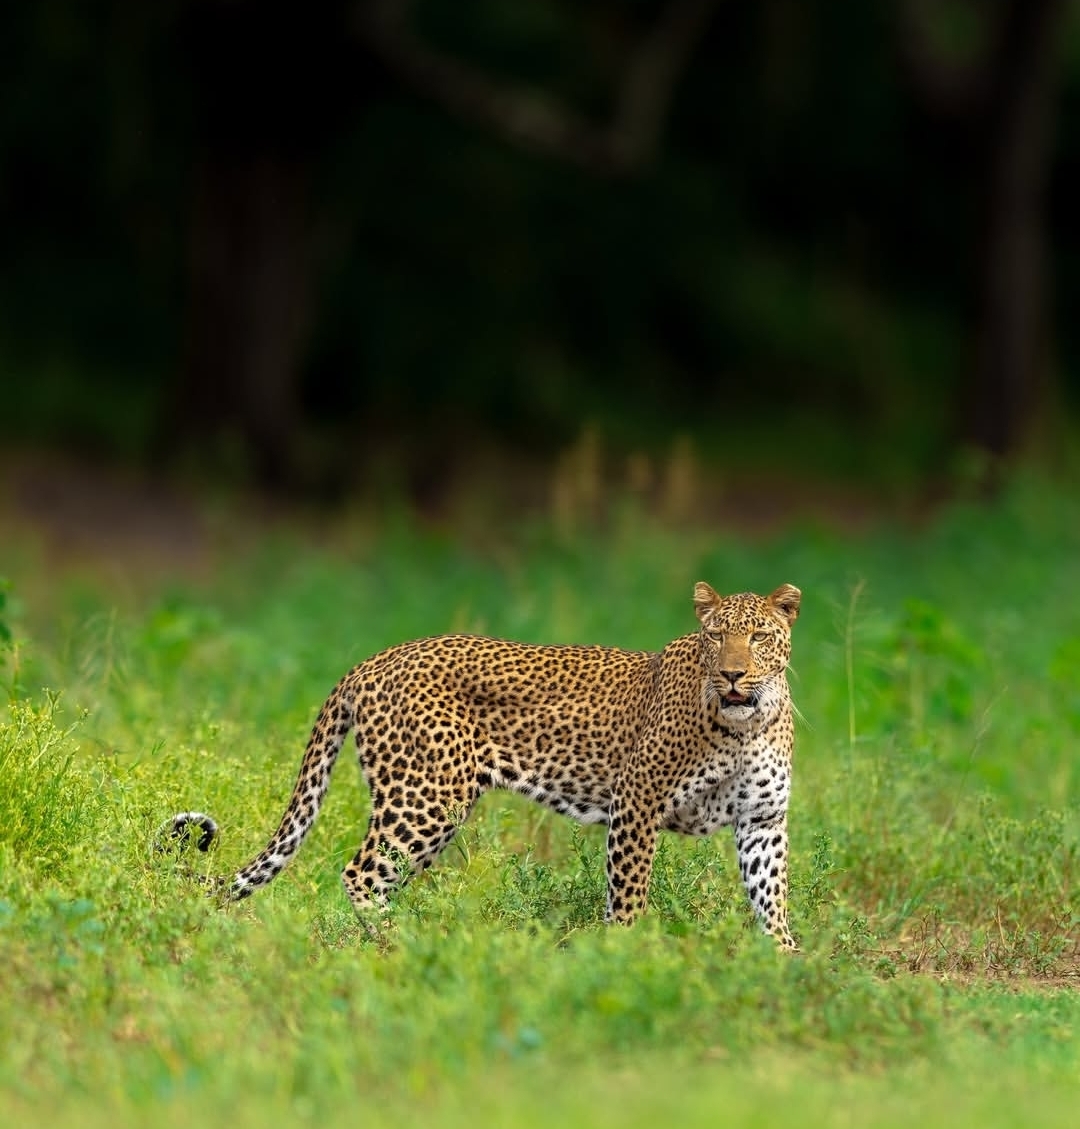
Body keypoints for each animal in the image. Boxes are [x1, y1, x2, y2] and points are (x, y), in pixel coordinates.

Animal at [165, 581, 802, 949]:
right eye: (715, 637)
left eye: (758, 636)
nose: (733, 675)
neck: (745, 726)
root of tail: (373, 660)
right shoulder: (637, 803)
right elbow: (629, 892)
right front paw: (627, 957)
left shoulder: (763, 820)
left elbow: (771, 896)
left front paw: (785, 961)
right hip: (426, 797)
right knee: (361, 874)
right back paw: (403, 946)